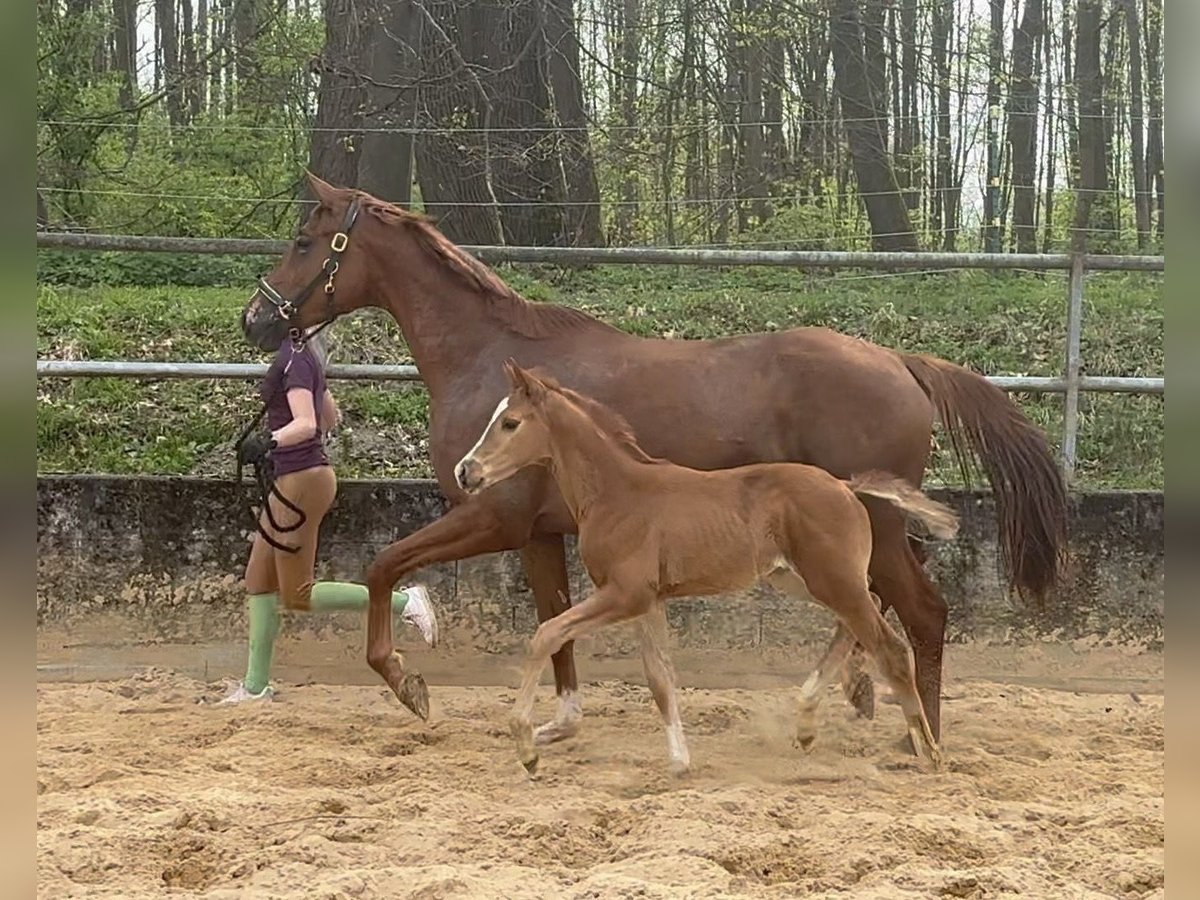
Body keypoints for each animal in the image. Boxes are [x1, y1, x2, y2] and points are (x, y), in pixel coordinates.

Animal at [453, 362, 960, 777]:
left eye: (510, 423)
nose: (465, 471)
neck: (618, 492)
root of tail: (846, 486)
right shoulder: (647, 601)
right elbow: (659, 678)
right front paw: (680, 762)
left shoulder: (624, 595)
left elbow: (546, 634)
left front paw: (527, 747)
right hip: (799, 578)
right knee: (864, 610)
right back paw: (805, 724)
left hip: (830, 579)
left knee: (890, 646)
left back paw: (930, 753)